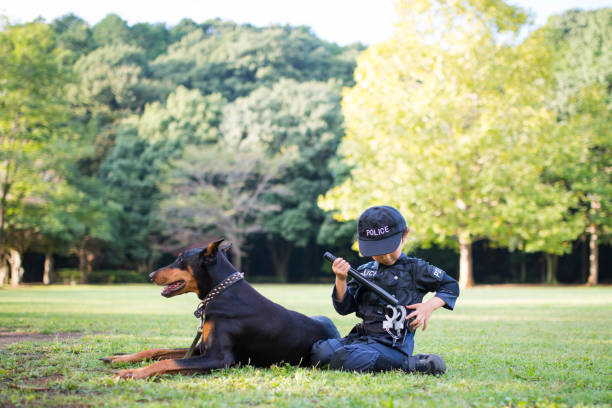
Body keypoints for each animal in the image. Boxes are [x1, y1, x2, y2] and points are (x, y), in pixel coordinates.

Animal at [101, 239, 340, 380]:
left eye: (180, 259)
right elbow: (157, 351)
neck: (222, 294)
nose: (150, 275)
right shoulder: (202, 348)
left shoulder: (219, 358)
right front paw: (120, 358)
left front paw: (131, 372)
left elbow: (168, 361)